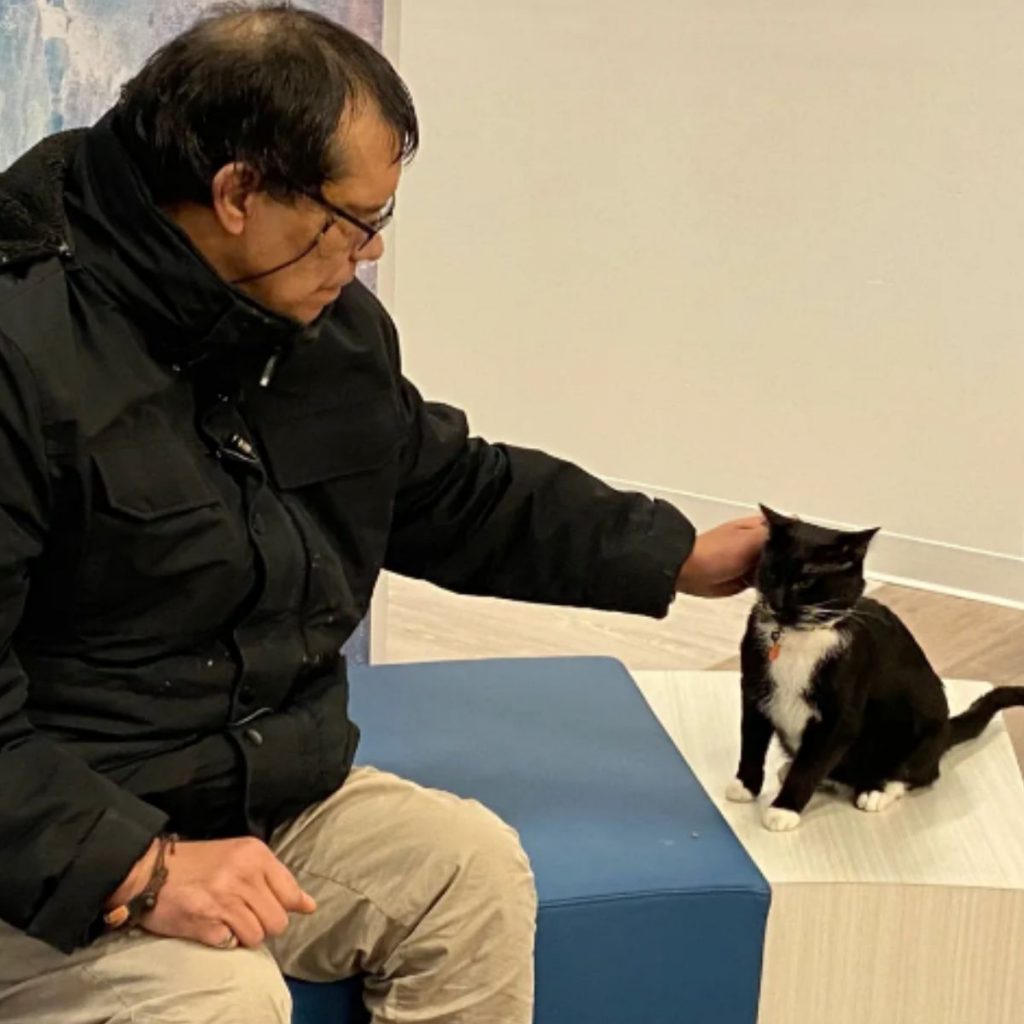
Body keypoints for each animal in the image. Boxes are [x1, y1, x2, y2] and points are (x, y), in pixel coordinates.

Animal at [729, 503, 1024, 831]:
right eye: (771, 572)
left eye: (805, 581)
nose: (777, 603)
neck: (797, 635)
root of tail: (946, 730)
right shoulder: (754, 690)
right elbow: (752, 740)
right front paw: (745, 785)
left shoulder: (841, 715)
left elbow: (811, 765)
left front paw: (784, 809)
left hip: (923, 725)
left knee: (920, 772)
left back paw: (877, 789)